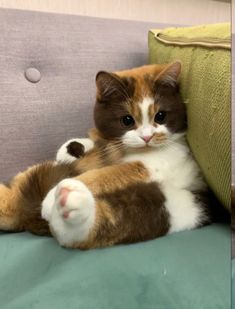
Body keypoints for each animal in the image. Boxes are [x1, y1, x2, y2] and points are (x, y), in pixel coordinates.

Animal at [0, 61, 228, 249]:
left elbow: (108, 174)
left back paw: (68, 203)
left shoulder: (157, 163)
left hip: (180, 204)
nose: (147, 137)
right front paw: (72, 150)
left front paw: (49, 198)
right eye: (127, 120)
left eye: (161, 116)